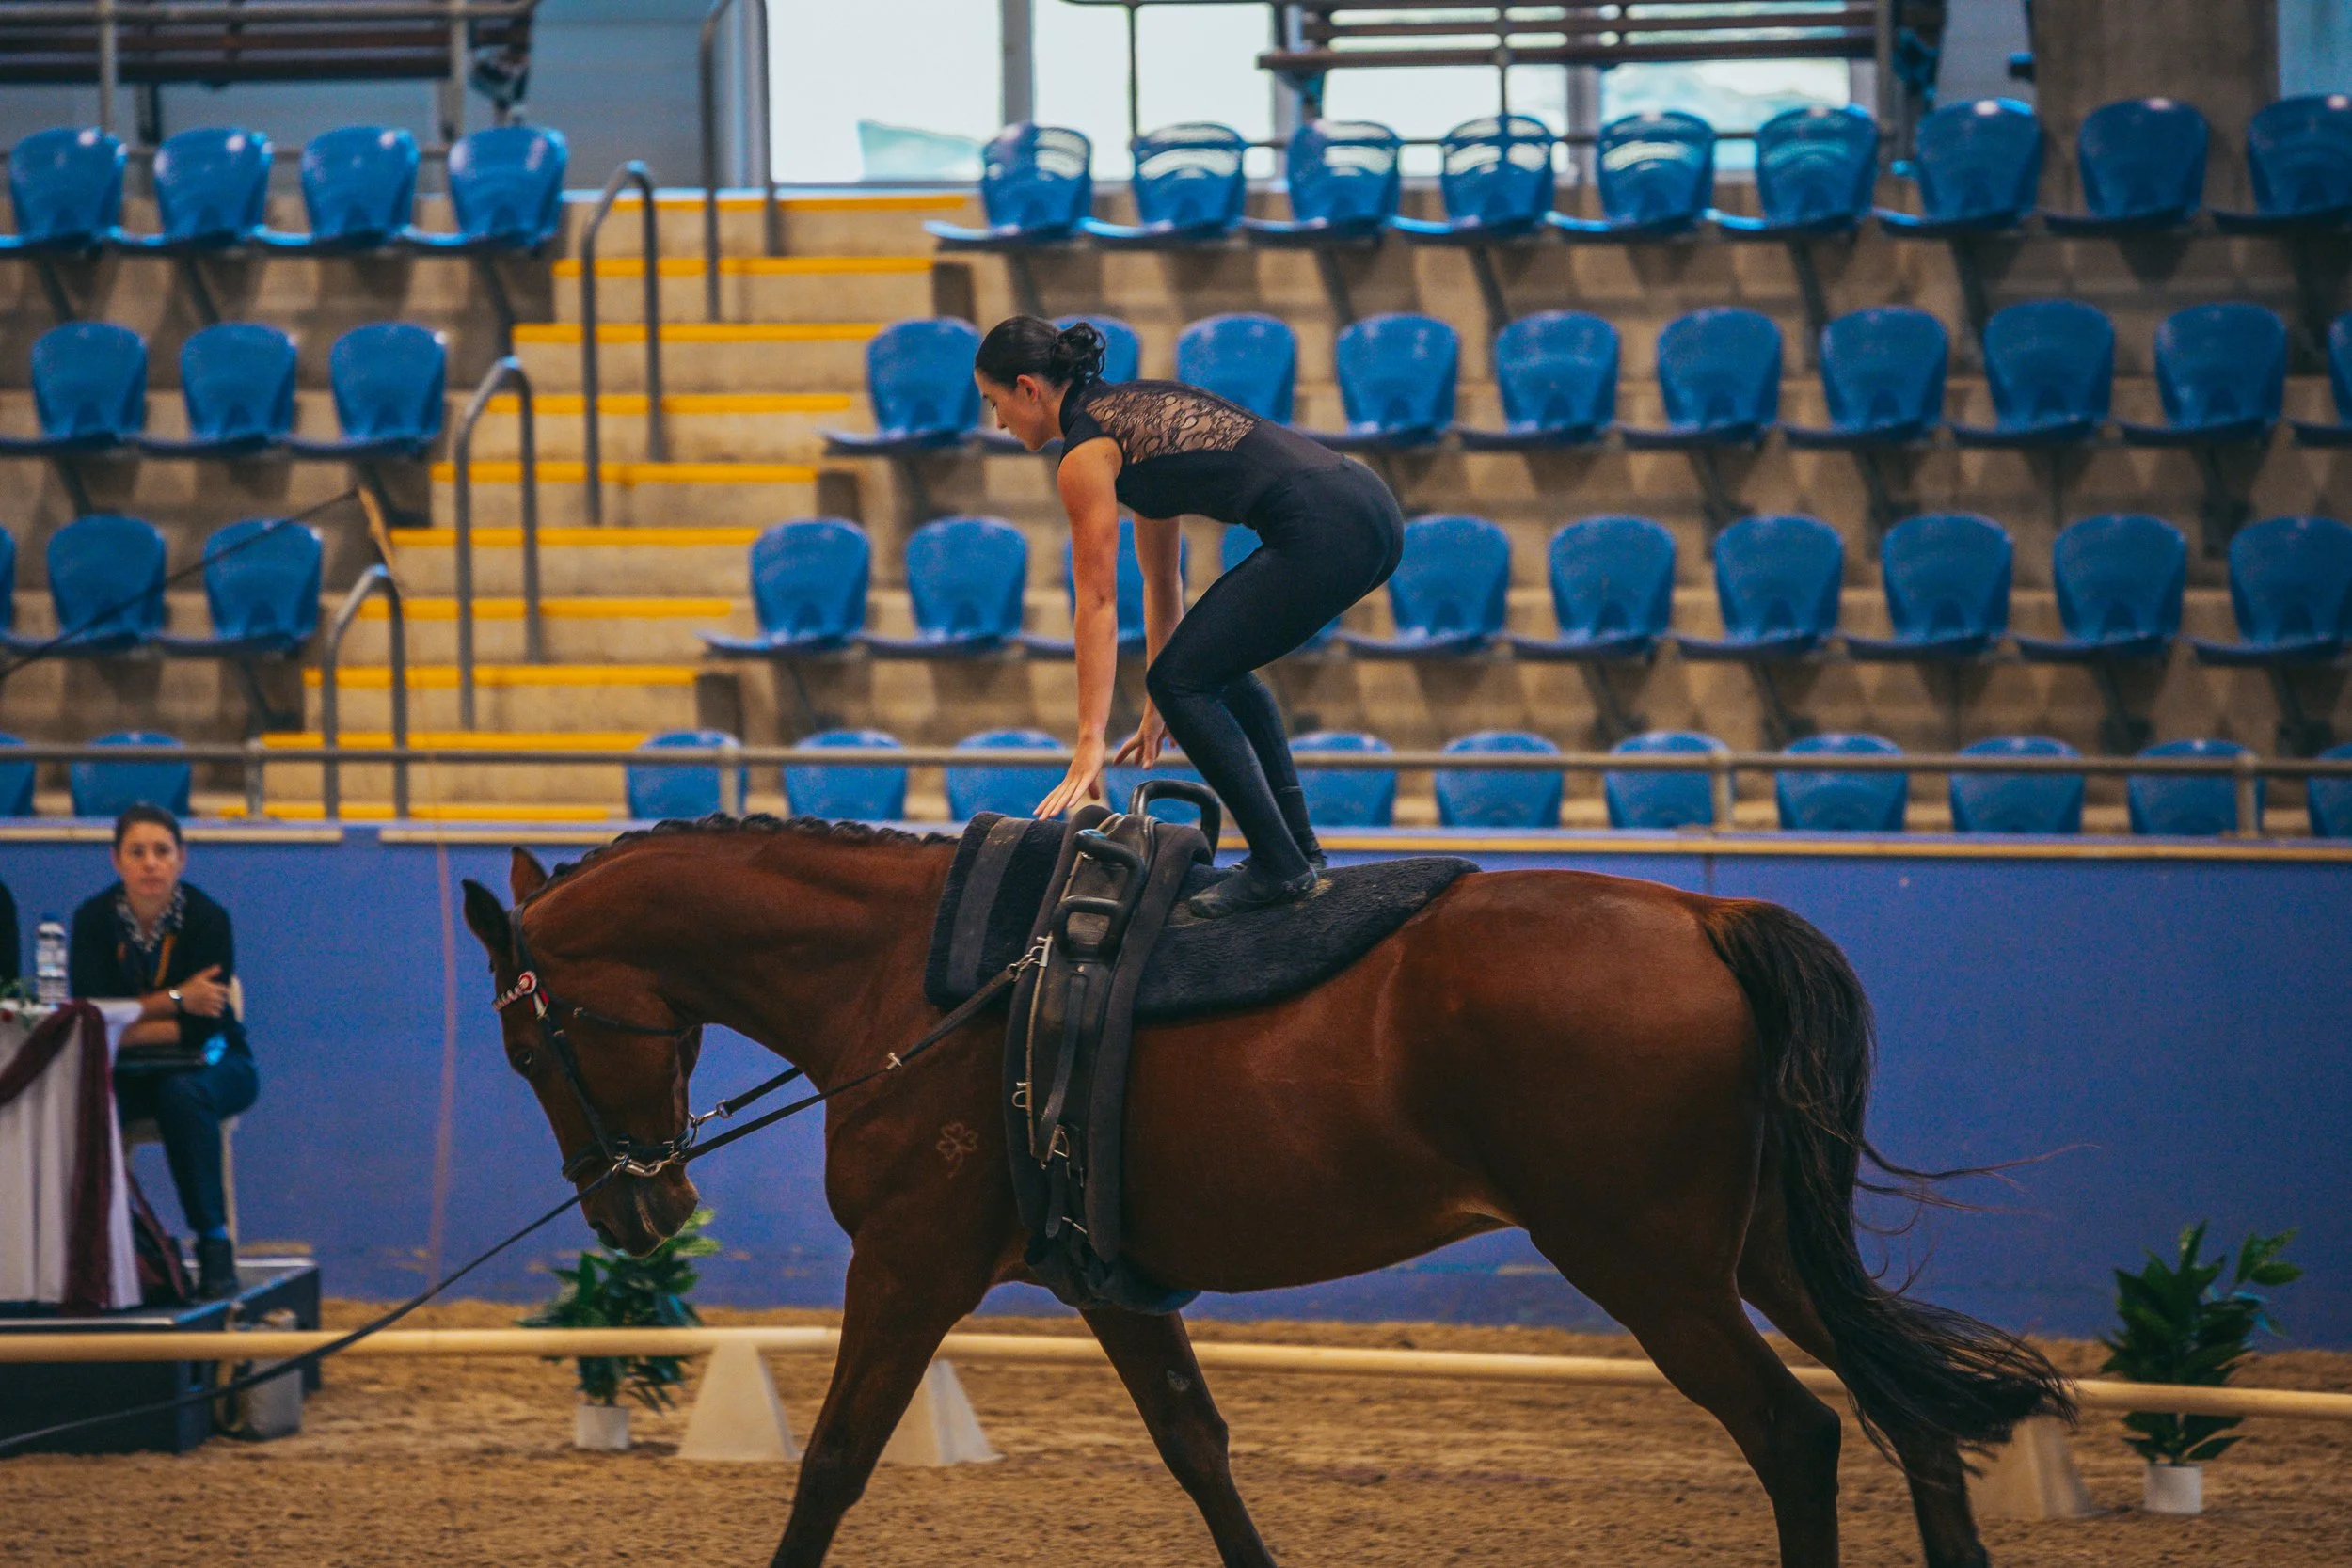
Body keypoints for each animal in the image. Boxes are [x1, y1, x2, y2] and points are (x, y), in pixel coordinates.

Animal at [458, 814, 2069, 1568]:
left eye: (530, 1041)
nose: (632, 1215)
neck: (916, 984)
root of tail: (1705, 911)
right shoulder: (1108, 1279)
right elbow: (1198, 1446)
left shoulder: (907, 1269)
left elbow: (838, 1459)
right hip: (1759, 1249)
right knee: (1910, 1410)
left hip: (1653, 1267)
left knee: (1800, 1432)